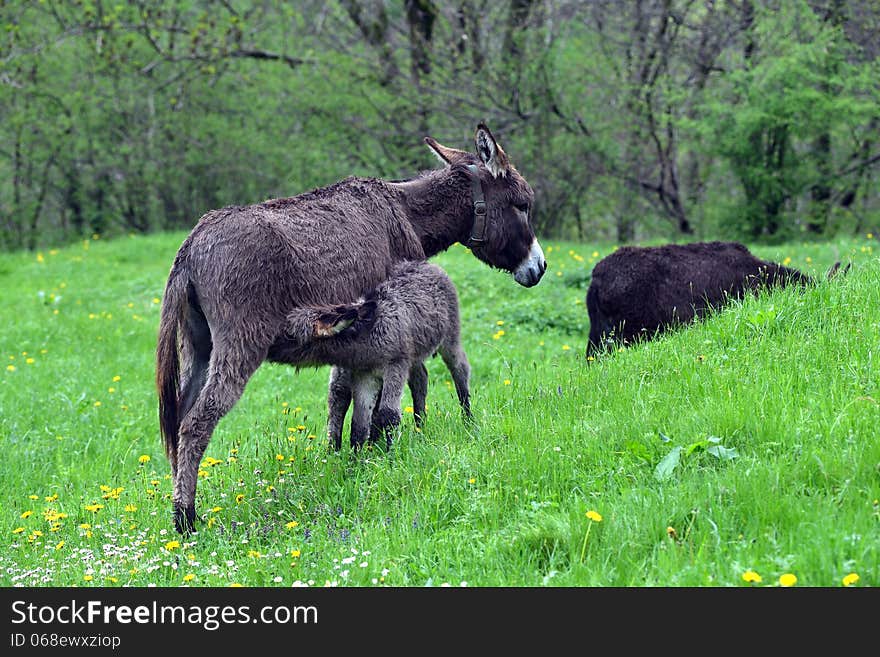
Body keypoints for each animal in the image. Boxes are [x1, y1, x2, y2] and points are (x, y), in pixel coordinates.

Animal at [157, 124, 544, 532]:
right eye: (522, 204)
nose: (540, 268)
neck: (406, 213)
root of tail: (191, 246)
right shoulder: (390, 315)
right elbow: (399, 385)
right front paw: (384, 448)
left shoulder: (359, 334)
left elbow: (341, 394)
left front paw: (343, 453)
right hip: (240, 345)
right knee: (197, 423)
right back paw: (186, 519)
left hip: (199, 347)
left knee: (178, 419)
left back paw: (178, 504)